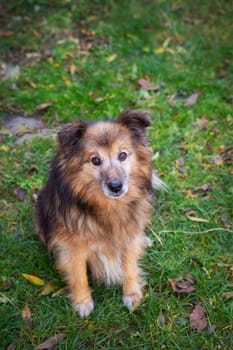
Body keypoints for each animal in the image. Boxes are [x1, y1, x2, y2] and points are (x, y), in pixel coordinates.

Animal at [35, 109, 163, 318]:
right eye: (95, 160)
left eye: (123, 155)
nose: (116, 186)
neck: (109, 207)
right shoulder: (73, 246)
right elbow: (78, 274)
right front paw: (82, 302)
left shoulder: (128, 235)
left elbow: (130, 265)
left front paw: (132, 294)